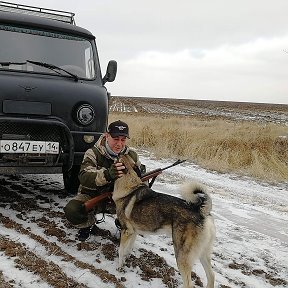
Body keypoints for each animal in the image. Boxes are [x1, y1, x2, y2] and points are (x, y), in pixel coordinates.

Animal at [113, 155, 216, 288]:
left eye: (121, 158)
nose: (119, 153)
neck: (129, 184)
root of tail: (200, 211)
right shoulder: (133, 232)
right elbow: (127, 250)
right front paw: (125, 261)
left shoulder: (126, 231)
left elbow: (121, 250)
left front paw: (119, 267)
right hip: (203, 253)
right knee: (211, 276)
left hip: (181, 256)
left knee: (189, 284)